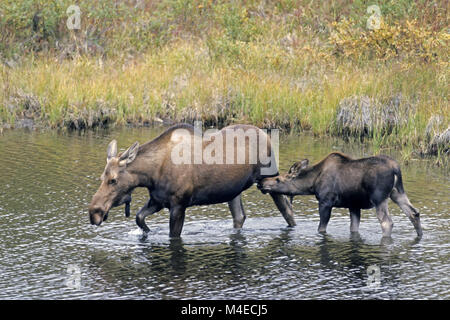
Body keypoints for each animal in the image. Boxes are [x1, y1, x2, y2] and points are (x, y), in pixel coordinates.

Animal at [88, 124, 296, 236]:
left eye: (113, 180)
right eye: (102, 177)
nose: (94, 213)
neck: (151, 175)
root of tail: (265, 134)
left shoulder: (179, 204)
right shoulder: (158, 200)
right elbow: (139, 218)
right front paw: (147, 232)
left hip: (269, 176)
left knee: (287, 210)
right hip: (233, 190)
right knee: (240, 216)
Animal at [258, 152, 424, 238]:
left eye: (278, 179)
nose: (261, 182)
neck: (312, 183)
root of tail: (396, 169)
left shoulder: (326, 202)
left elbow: (321, 228)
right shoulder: (354, 205)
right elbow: (353, 228)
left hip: (379, 198)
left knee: (387, 222)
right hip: (397, 192)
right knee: (414, 212)